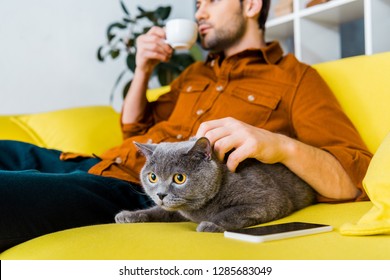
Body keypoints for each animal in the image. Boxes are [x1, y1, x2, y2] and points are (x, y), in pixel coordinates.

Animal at [114, 137, 316, 232]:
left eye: (179, 178)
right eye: (153, 177)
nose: (160, 195)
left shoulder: (269, 200)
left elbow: (234, 212)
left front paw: (211, 224)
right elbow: (159, 211)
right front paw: (128, 215)